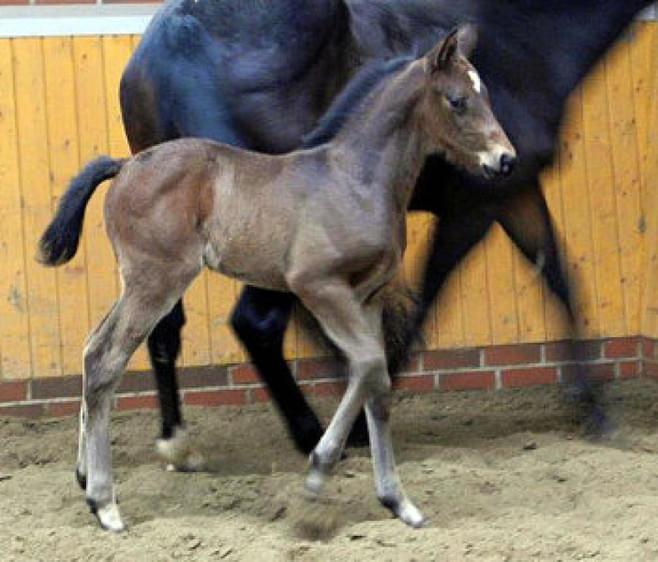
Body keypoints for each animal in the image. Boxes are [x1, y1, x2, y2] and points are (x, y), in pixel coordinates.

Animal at [38, 26, 516, 532]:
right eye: (458, 100)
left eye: (484, 93)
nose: (505, 159)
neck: (356, 179)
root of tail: (126, 165)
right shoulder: (317, 285)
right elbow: (367, 365)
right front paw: (318, 473)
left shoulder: (367, 297)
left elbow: (376, 381)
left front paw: (397, 501)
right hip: (157, 281)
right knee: (106, 360)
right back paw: (105, 503)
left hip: (139, 282)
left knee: (92, 348)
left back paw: (86, 479)